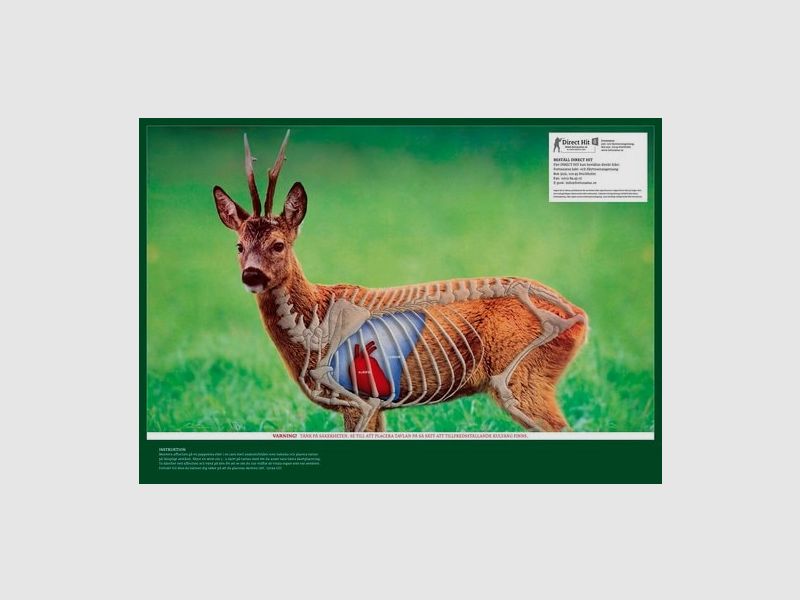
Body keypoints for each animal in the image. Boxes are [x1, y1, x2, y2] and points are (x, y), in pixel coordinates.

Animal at [213, 131, 588, 433]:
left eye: (278, 244)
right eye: (239, 246)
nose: (251, 275)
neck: (314, 320)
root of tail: (581, 317)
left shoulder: (360, 398)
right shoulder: (375, 403)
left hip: (524, 379)